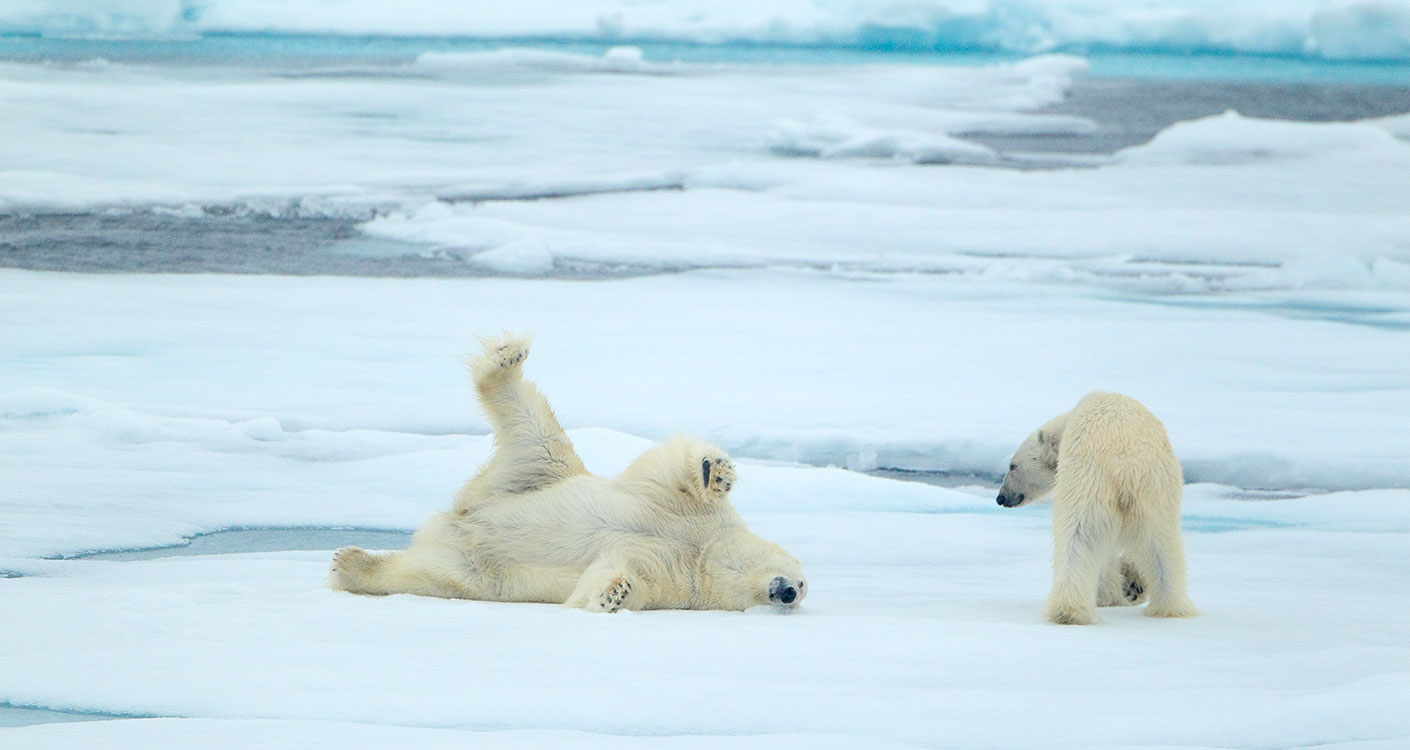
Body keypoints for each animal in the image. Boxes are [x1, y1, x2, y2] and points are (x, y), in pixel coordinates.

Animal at [328, 334, 807, 613]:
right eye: (801, 583)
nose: (787, 592)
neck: (701, 551)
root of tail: (449, 524)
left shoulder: (676, 582)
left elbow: (617, 576)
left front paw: (614, 593)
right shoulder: (682, 510)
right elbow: (666, 466)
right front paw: (717, 472)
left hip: (473, 572)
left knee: (422, 575)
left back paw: (350, 564)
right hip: (542, 470)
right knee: (531, 422)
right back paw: (508, 359)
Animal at [996, 391, 1197, 625]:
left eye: (1012, 466)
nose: (1001, 497)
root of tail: (1126, 464)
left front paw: (1112, 594)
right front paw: (1128, 587)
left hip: (1090, 482)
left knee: (1079, 538)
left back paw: (1068, 611)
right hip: (1155, 490)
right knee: (1163, 543)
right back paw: (1169, 607)